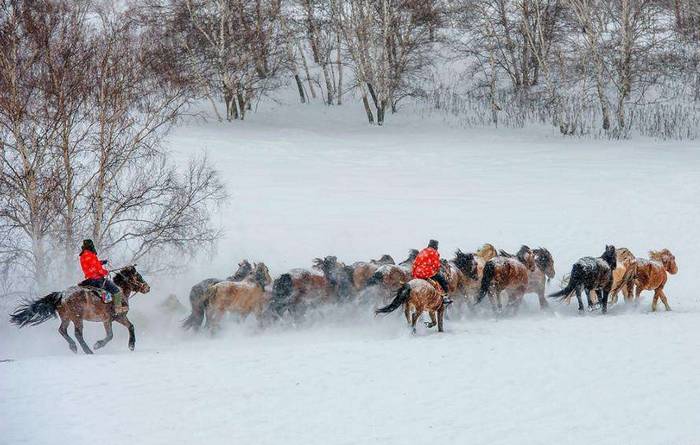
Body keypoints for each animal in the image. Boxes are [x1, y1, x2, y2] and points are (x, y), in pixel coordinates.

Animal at [8, 264, 152, 354]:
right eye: (138, 276)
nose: (147, 287)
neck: (120, 292)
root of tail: (61, 294)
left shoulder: (120, 317)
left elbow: (131, 326)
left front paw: (131, 345)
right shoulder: (107, 319)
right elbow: (110, 335)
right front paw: (98, 344)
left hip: (67, 318)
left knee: (62, 330)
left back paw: (73, 347)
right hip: (77, 318)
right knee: (77, 334)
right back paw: (88, 350)